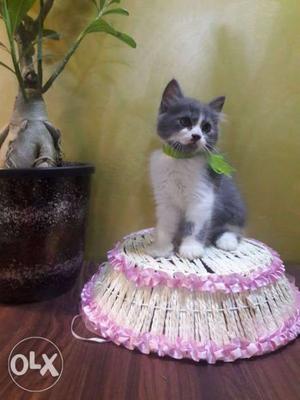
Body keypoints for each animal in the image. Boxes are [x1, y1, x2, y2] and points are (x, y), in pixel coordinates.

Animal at [148, 79, 246, 260]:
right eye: (185, 121)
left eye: (206, 128)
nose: (197, 136)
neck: (181, 159)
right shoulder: (165, 200)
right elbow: (165, 226)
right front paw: (161, 247)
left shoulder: (202, 198)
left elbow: (195, 226)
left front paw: (191, 248)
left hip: (234, 206)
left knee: (233, 228)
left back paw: (227, 240)